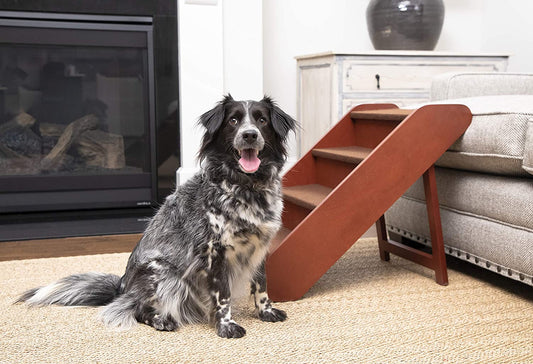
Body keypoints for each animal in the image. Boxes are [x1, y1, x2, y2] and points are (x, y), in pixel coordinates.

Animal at [16, 96, 298, 338]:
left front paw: (266, 312)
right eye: (233, 120)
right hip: (164, 274)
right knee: (136, 309)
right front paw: (226, 326)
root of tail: (122, 287)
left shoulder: (259, 246)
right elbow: (223, 296)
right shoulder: (214, 252)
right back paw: (162, 320)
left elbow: (261, 285)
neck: (246, 187)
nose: (249, 135)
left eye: (261, 120)